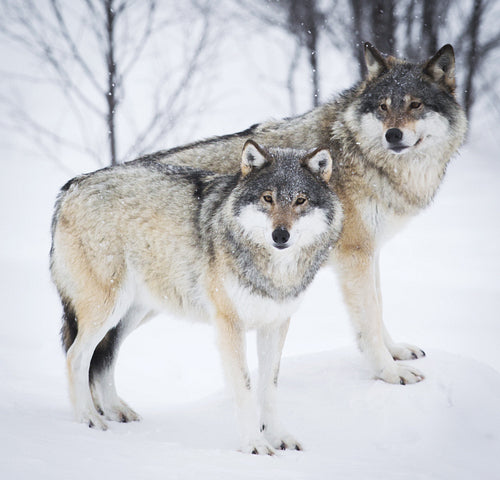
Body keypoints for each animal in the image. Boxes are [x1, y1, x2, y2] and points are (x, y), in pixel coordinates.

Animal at [50, 140, 344, 454]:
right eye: (268, 198)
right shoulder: (230, 324)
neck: (274, 271)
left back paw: (116, 410)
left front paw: (279, 437)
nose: (280, 235)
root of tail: (71, 186)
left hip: (133, 313)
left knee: (105, 357)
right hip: (107, 308)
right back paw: (88, 418)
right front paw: (254, 444)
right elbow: (245, 387)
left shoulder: (276, 324)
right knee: (76, 356)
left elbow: (269, 387)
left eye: (300, 200)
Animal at [134, 43, 468, 384]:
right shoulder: (355, 256)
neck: (359, 154)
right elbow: (369, 319)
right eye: (383, 107)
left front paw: (396, 351)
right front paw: (388, 371)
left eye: (415, 105)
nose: (393, 135)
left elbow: (379, 306)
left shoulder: (370, 252)